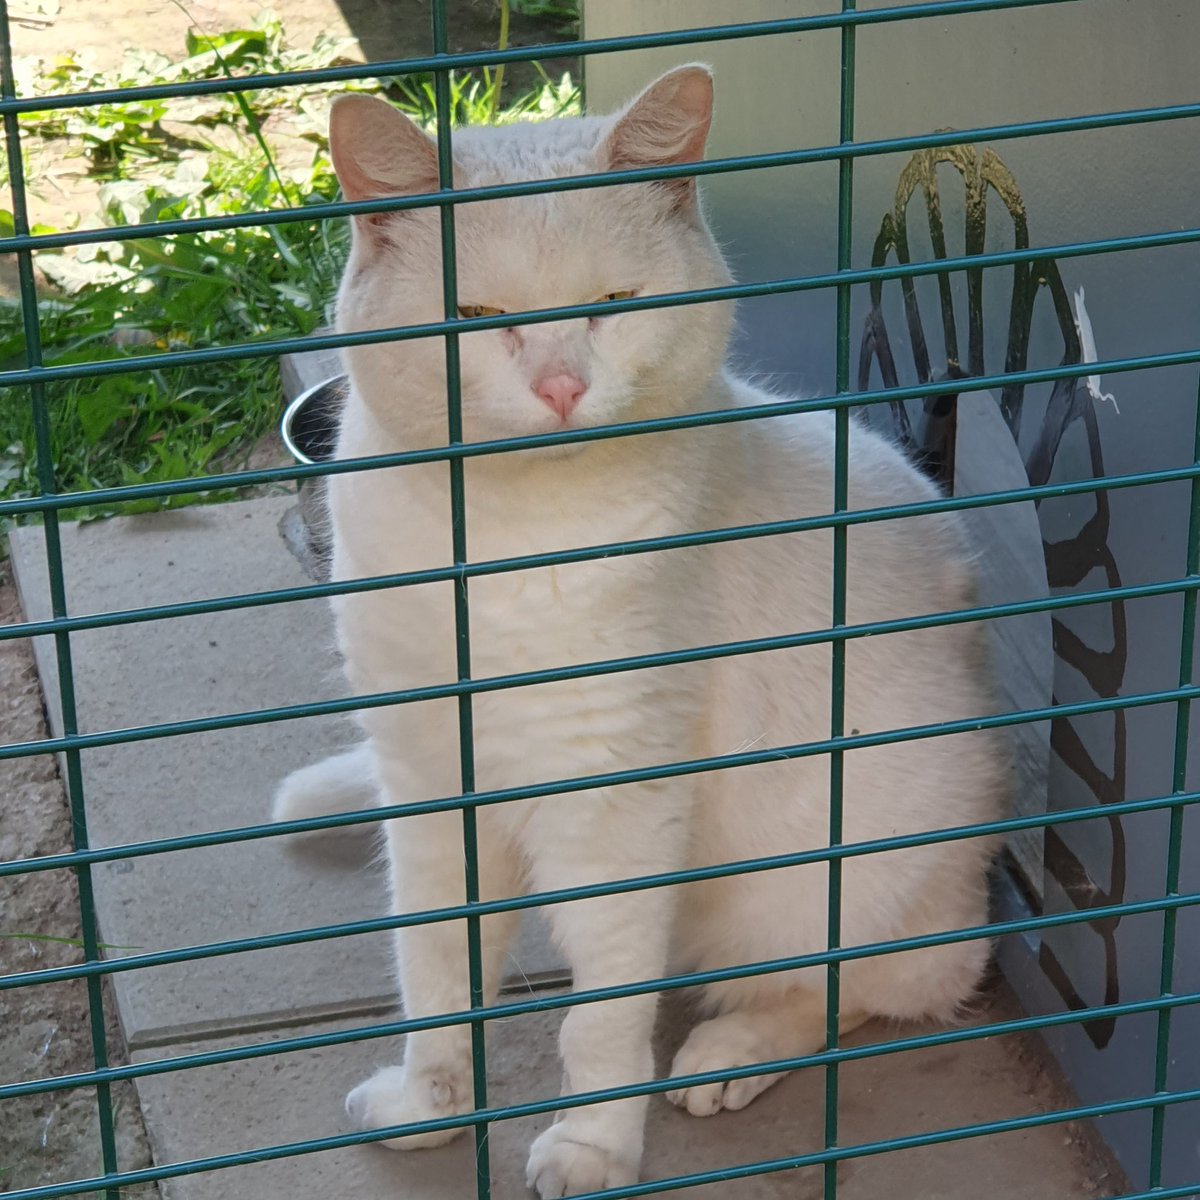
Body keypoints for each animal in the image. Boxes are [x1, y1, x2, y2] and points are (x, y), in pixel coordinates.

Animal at [276, 68, 1008, 1200]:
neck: (496, 546)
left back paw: (726, 1057)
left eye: (613, 308)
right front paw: (434, 1102)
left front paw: (591, 1147)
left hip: (851, 874)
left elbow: (599, 1020)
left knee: (877, 981)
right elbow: (435, 970)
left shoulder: (612, 804)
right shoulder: (430, 782)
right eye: (475, 319)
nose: (562, 387)